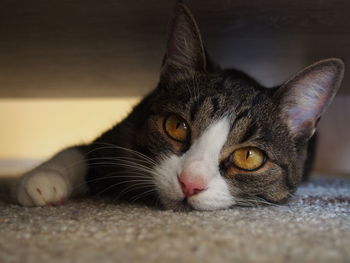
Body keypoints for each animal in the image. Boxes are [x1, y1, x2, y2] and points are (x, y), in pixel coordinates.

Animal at [11, 2, 344, 212]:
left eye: (249, 157)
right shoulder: (124, 130)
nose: (190, 184)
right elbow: (82, 150)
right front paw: (43, 181)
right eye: (175, 125)